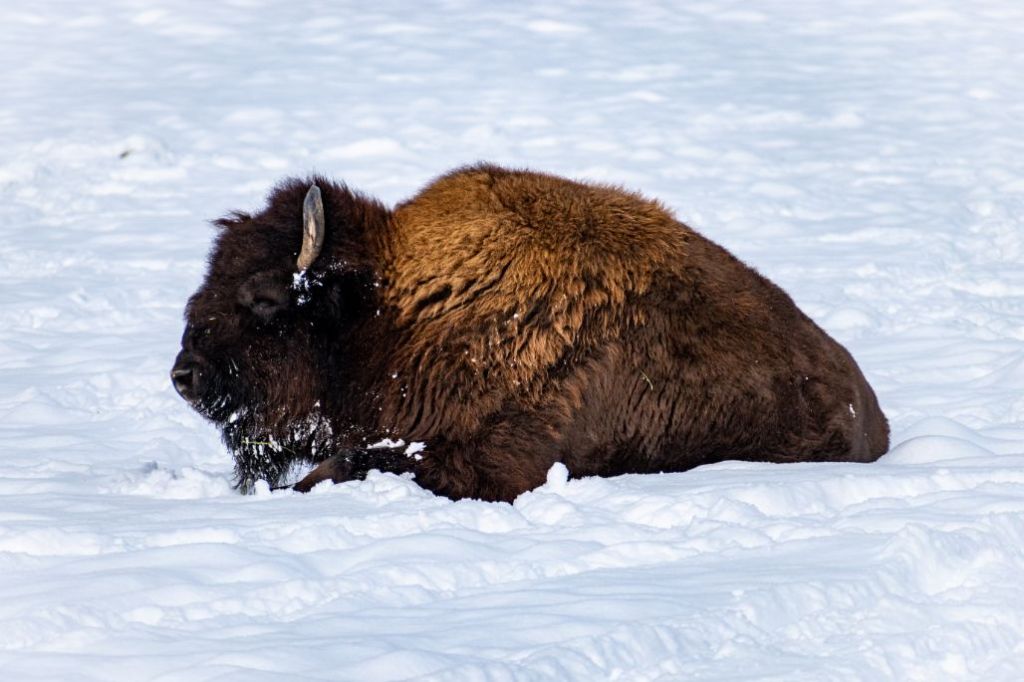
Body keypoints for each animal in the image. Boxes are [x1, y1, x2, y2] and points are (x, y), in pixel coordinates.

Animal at [172, 164, 889, 501]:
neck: (389, 311)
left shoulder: (492, 462)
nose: (184, 375)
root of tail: (871, 411)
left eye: (265, 298)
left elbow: (344, 465)